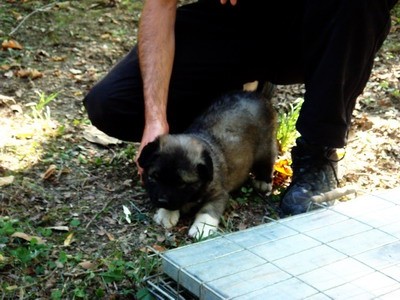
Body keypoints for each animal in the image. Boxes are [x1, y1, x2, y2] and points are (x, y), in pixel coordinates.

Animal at [137, 91, 276, 239]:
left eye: (181, 184)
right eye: (154, 177)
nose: (162, 201)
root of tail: (256, 95)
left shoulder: (219, 194)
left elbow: (209, 209)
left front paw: (202, 227)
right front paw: (166, 214)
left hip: (265, 147)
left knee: (268, 161)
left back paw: (263, 181)